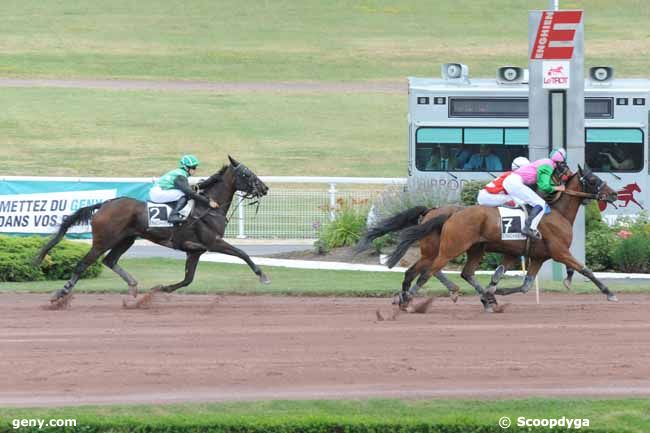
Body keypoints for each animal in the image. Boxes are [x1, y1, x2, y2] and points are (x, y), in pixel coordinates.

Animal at [34, 156, 268, 308]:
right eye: (246, 173)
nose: (265, 188)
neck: (208, 209)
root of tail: (105, 203)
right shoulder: (213, 242)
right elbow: (242, 254)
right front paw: (263, 276)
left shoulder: (195, 251)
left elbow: (187, 280)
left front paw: (158, 290)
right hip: (103, 240)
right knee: (83, 264)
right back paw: (60, 294)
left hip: (126, 239)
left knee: (110, 261)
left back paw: (133, 288)